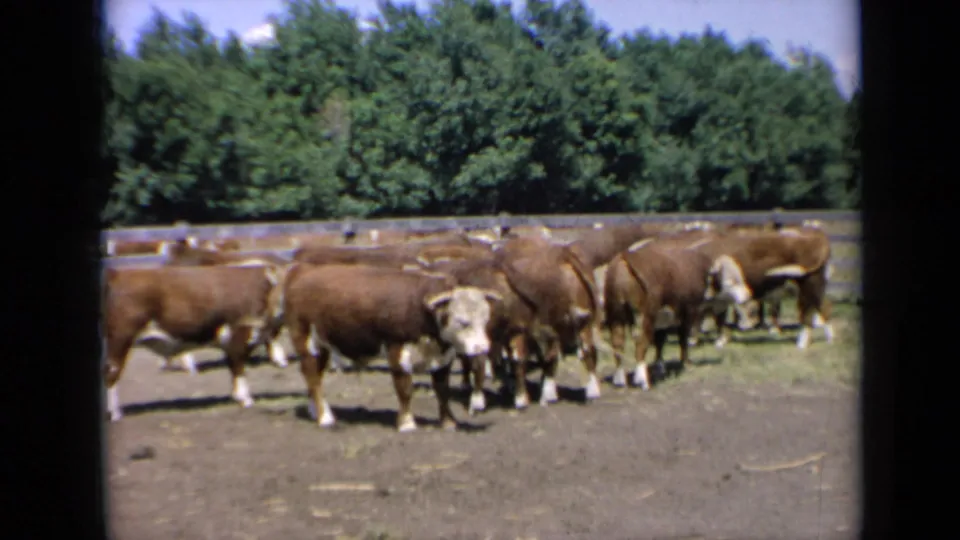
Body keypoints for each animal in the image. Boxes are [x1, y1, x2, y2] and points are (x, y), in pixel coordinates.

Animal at [102, 265, 288, 422]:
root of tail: (117, 274)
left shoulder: (230, 343)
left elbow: (233, 367)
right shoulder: (238, 336)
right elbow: (239, 367)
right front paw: (246, 399)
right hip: (120, 339)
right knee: (112, 373)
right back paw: (116, 414)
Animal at [282, 263, 503, 432]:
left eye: (485, 319)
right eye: (463, 322)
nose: (482, 347)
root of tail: (302, 270)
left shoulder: (443, 357)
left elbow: (442, 391)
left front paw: (448, 422)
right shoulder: (398, 351)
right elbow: (404, 390)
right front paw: (406, 423)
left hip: (323, 345)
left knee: (315, 377)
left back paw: (315, 411)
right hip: (305, 341)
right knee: (312, 378)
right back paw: (325, 418)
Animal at [603, 244, 723, 389]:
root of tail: (626, 255)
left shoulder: (663, 319)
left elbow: (660, 341)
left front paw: (660, 367)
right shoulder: (688, 311)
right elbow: (683, 338)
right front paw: (686, 363)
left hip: (615, 314)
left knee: (617, 344)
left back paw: (620, 380)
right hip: (645, 316)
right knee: (640, 345)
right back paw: (643, 381)